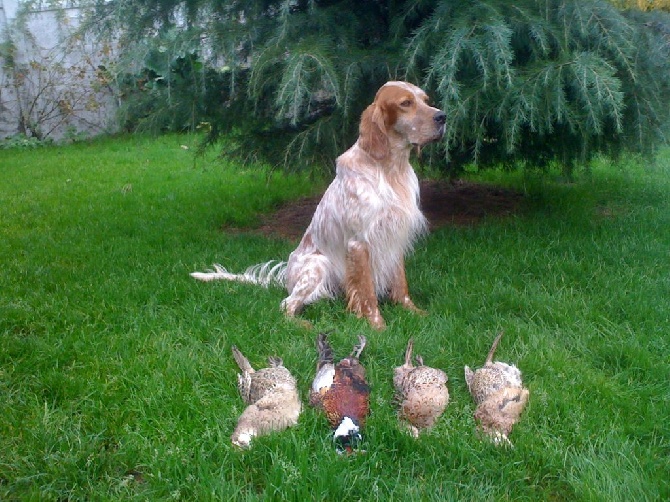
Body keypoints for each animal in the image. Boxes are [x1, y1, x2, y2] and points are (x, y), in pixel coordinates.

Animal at [193, 81, 446, 330]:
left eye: (425, 100)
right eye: (405, 103)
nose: (443, 117)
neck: (390, 170)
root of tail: (286, 278)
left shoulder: (394, 236)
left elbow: (401, 285)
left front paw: (415, 312)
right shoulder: (359, 242)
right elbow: (366, 292)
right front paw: (377, 326)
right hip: (318, 264)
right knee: (287, 304)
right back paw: (306, 325)